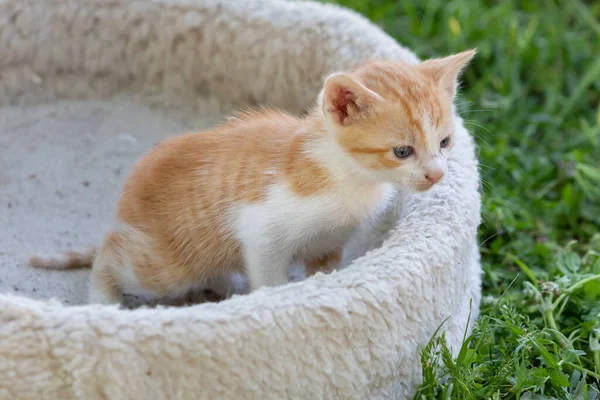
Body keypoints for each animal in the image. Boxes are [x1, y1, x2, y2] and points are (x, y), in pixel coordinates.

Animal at [30, 49, 476, 304]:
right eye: (402, 151)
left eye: (445, 142)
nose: (437, 175)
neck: (348, 176)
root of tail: (126, 209)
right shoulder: (261, 228)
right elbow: (268, 272)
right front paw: (273, 302)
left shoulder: (329, 242)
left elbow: (325, 271)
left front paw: (323, 290)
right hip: (167, 263)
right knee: (111, 253)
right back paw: (103, 300)